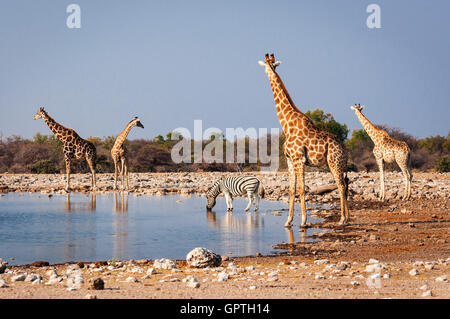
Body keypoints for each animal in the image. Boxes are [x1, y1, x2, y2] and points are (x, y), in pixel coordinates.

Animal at [258, 53, 350, 228]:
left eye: (268, 65)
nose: (267, 72)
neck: (287, 124)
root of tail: (343, 147)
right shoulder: (290, 160)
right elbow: (291, 189)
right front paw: (288, 221)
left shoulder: (299, 159)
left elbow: (301, 189)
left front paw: (303, 221)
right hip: (338, 163)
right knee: (345, 184)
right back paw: (347, 218)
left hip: (334, 162)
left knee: (341, 185)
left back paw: (342, 219)